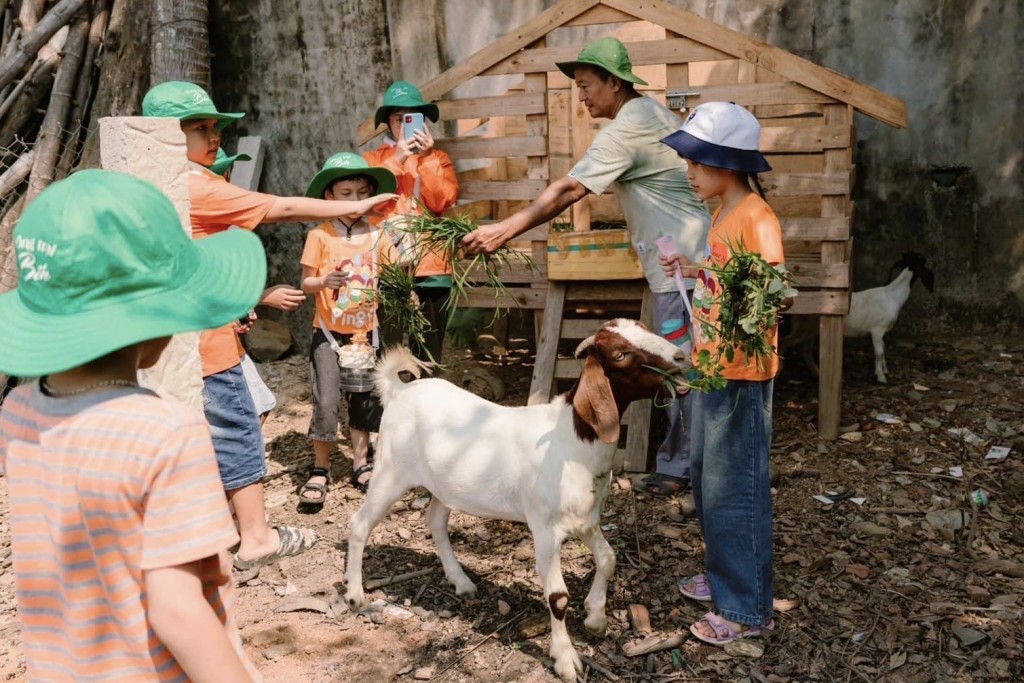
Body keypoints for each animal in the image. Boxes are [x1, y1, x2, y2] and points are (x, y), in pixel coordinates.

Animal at [344, 321, 688, 683]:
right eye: (620, 355)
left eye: (644, 328)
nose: (681, 357)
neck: (571, 438)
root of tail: (398, 390)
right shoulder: (545, 526)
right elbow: (558, 596)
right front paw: (566, 659)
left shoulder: (587, 518)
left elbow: (608, 558)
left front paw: (595, 618)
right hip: (391, 471)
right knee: (361, 522)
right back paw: (354, 595)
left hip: (443, 484)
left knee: (435, 521)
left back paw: (461, 582)